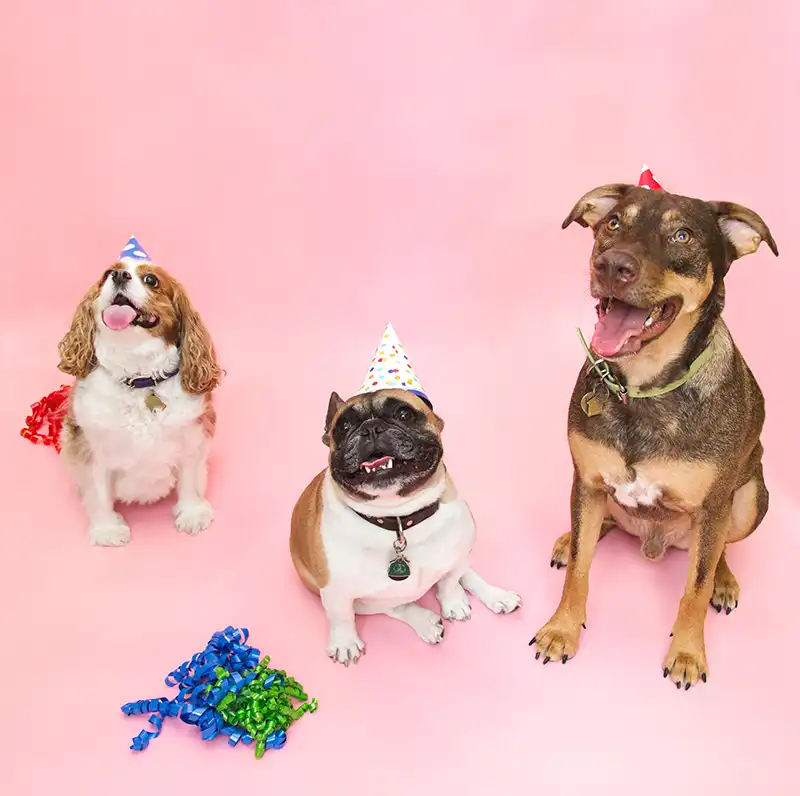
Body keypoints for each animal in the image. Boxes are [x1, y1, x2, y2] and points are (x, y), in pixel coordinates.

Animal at [55, 239, 220, 544]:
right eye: (107, 274)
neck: (139, 378)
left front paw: (192, 514)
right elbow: (97, 491)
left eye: (151, 280)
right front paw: (107, 529)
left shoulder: (193, 436)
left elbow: (190, 480)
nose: (119, 276)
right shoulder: (89, 445)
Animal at [290, 386, 520, 664]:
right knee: (393, 605)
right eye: (344, 426)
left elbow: (449, 582)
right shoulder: (335, 591)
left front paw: (453, 601)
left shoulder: (457, 556)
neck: (399, 520)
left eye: (404, 414)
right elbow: (341, 617)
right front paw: (344, 642)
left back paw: (497, 596)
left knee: (463, 573)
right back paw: (426, 622)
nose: (371, 428)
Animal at [528, 177, 780, 688]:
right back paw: (568, 538)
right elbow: (579, 571)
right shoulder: (586, 480)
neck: (643, 387)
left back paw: (725, 579)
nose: (611, 265)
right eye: (613, 223)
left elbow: (695, 587)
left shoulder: (714, 505)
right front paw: (562, 629)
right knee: (592, 530)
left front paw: (686, 653)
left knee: (720, 549)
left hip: (750, 500)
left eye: (683, 236)